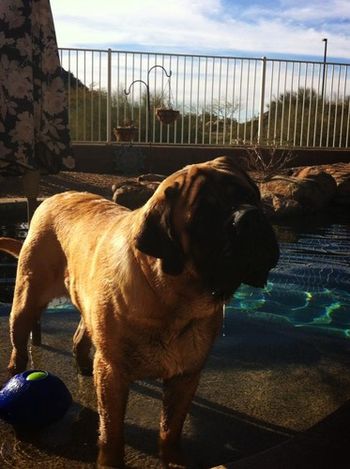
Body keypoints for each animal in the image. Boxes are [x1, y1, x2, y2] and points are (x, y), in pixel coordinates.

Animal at [0, 158, 278, 468]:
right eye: (204, 216)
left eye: (251, 196)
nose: (249, 218)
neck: (173, 298)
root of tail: (53, 198)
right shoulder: (113, 372)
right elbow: (112, 431)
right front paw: (110, 461)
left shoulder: (185, 376)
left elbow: (170, 429)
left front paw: (174, 459)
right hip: (26, 301)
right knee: (19, 347)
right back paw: (16, 376)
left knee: (80, 337)